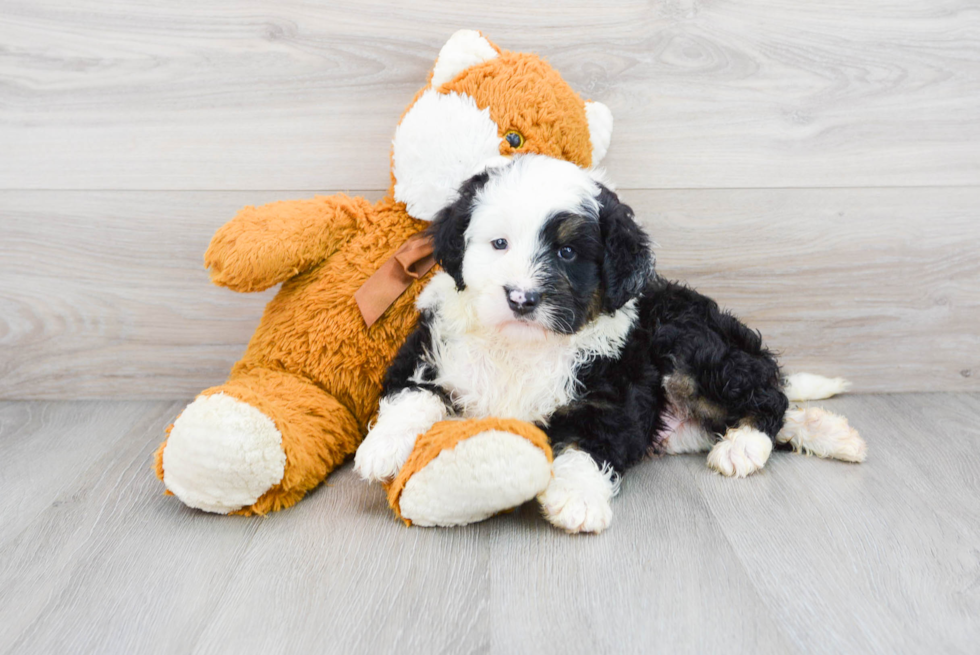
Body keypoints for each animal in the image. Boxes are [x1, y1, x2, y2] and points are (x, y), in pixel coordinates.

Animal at [354, 156, 864, 536]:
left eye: (566, 253)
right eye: (499, 244)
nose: (521, 298)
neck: (521, 347)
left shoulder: (609, 393)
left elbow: (587, 445)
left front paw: (577, 498)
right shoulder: (427, 352)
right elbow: (412, 395)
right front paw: (383, 447)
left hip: (686, 342)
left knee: (769, 396)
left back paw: (746, 446)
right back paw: (833, 435)